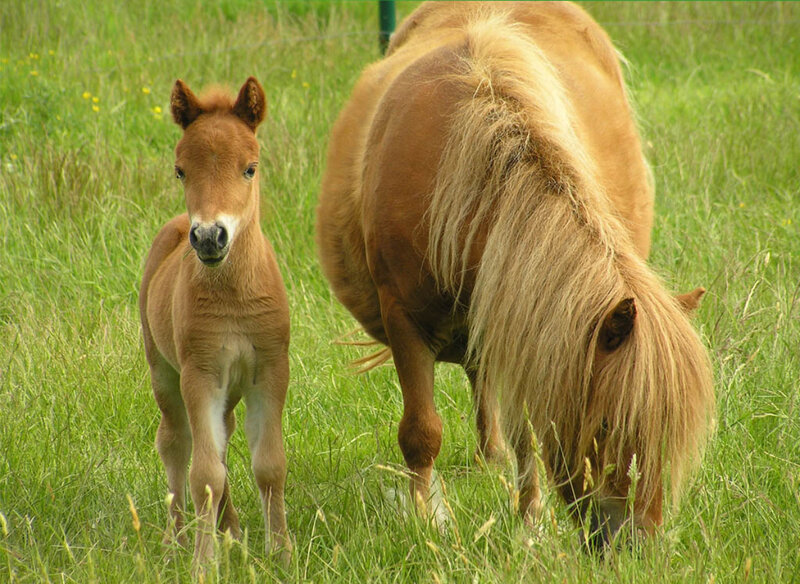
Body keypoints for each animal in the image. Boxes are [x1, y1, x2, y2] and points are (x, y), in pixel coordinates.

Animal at [139, 77, 291, 567]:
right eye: (180, 171)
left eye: (250, 169)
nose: (209, 237)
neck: (234, 298)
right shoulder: (200, 374)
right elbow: (204, 474)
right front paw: (204, 563)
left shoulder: (270, 371)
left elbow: (269, 465)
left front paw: (282, 554)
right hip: (165, 374)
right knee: (175, 443)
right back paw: (176, 540)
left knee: (221, 443)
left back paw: (234, 532)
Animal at [316, 2, 714, 548]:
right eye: (607, 427)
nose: (637, 544)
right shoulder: (404, 320)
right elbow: (421, 431)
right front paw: (426, 521)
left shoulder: (528, 330)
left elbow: (527, 430)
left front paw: (529, 523)